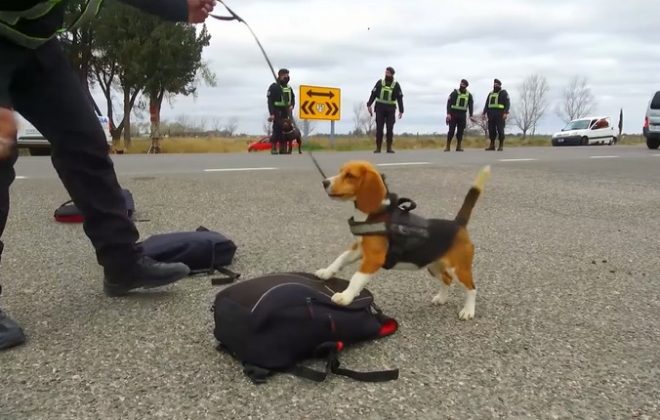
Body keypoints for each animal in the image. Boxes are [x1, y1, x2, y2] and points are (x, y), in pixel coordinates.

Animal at [314, 161, 490, 322]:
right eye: (340, 172)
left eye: (350, 175)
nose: (324, 182)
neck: (376, 213)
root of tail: (457, 223)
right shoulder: (359, 249)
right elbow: (340, 259)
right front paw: (326, 272)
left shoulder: (374, 258)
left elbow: (357, 277)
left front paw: (345, 296)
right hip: (433, 266)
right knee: (447, 280)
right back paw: (441, 298)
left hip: (459, 269)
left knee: (472, 288)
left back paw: (468, 311)